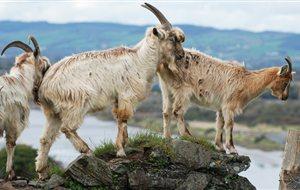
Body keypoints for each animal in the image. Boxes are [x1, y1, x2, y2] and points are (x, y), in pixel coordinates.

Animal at [35, 2, 185, 180]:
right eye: (172, 38)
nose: (182, 55)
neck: (140, 60)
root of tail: (45, 85)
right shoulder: (126, 95)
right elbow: (123, 118)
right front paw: (120, 151)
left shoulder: (117, 98)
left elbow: (120, 119)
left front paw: (124, 145)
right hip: (76, 102)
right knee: (67, 128)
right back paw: (87, 151)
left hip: (52, 112)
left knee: (46, 139)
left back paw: (42, 172)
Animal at [158, 49, 294, 154]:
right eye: (285, 82)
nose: (285, 97)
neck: (246, 81)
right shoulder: (229, 105)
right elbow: (230, 124)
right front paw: (232, 149)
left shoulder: (221, 107)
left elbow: (220, 123)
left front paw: (220, 147)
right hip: (183, 90)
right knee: (177, 111)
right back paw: (188, 136)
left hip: (166, 88)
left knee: (166, 112)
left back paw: (167, 137)